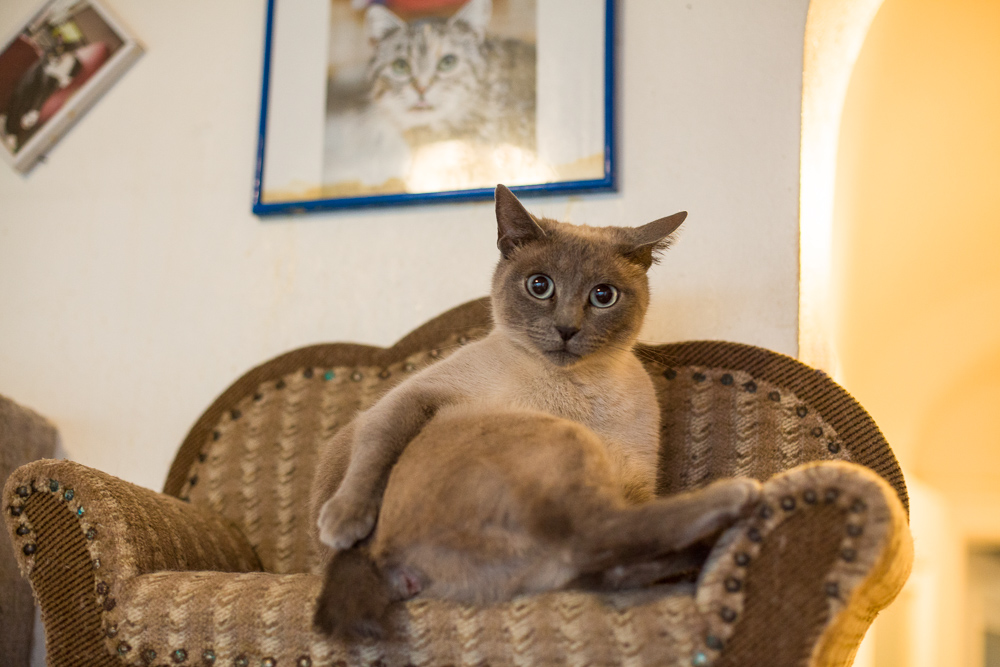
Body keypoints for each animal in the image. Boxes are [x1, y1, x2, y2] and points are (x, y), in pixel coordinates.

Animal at [308, 185, 760, 640]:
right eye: (539, 286)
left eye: (604, 296)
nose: (566, 329)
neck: (576, 390)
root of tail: (383, 562)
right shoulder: (415, 396)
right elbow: (373, 457)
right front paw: (342, 523)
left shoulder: (634, 482)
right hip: (554, 444)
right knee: (592, 539)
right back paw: (738, 495)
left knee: (601, 556)